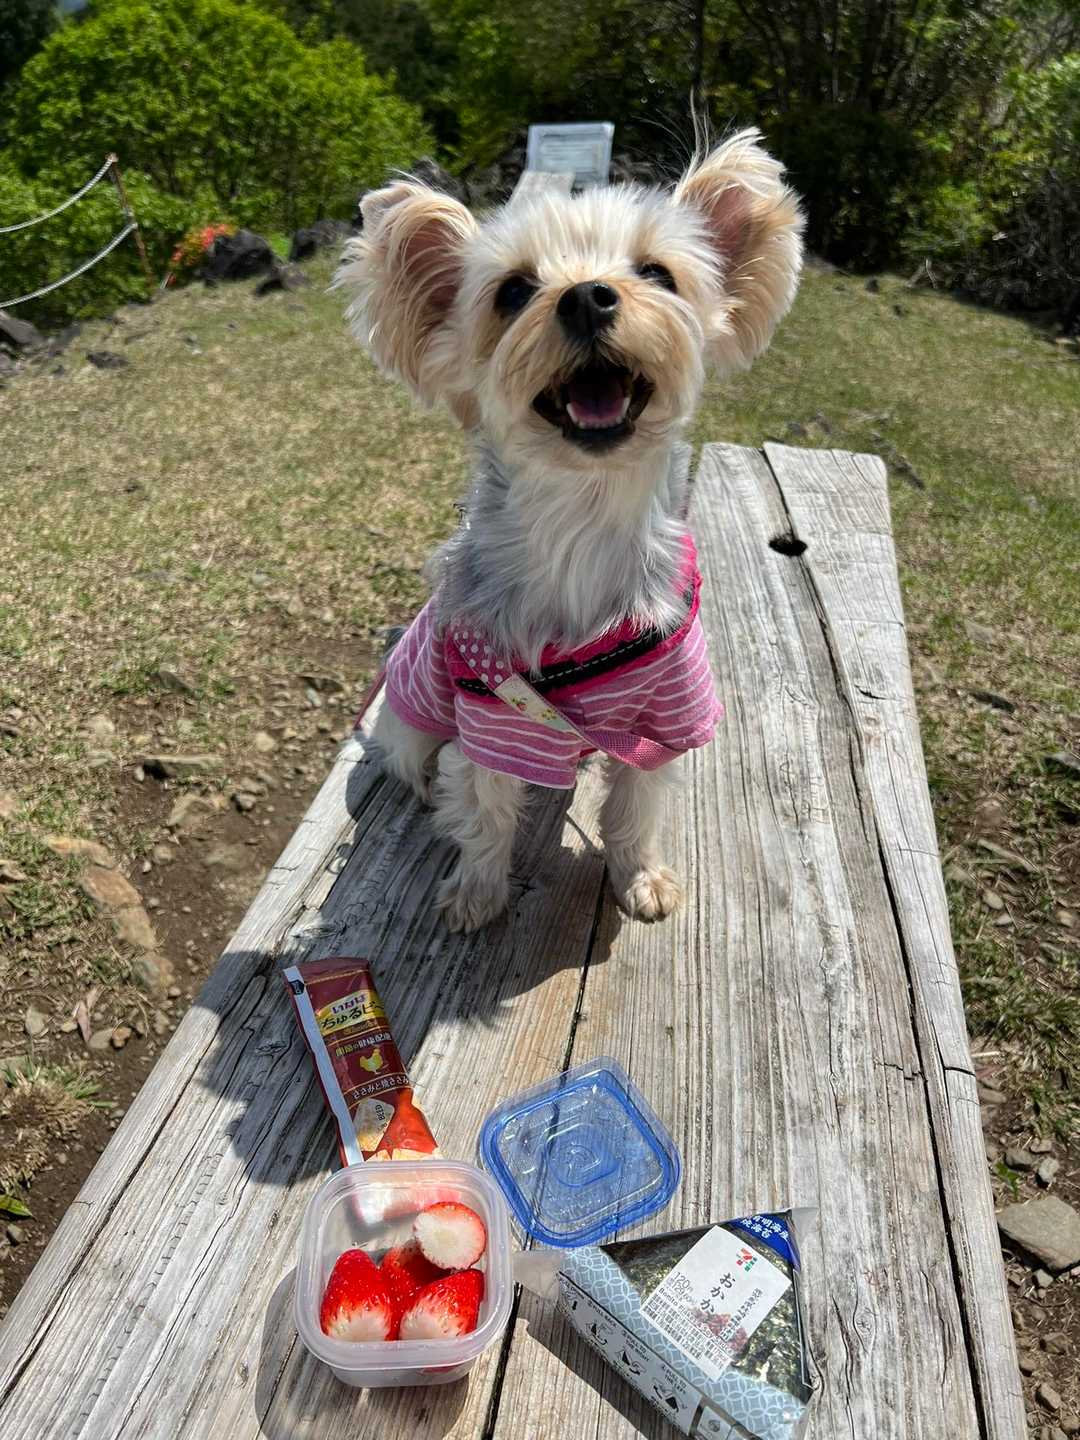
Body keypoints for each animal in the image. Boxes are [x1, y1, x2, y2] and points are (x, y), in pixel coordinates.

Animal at [336, 131, 803, 933]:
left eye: (657, 273)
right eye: (512, 292)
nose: (586, 294)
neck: (581, 520)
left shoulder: (668, 712)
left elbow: (636, 806)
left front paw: (640, 878)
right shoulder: (491, 713)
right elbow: (485, 808)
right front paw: (475, 892)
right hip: (415, 705)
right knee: (413, 756)